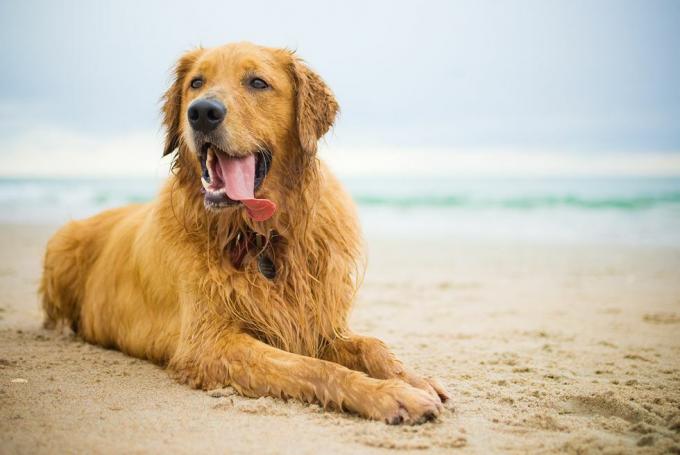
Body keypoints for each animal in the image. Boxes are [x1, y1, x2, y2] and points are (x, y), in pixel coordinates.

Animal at [39, 41, 448, 426]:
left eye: (257, 83)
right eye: (196, 83)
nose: (202, 112)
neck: (258, 235)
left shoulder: (317, 322)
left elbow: (372, 345)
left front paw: (416, 380)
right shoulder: (208, 343)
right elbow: (313, 366)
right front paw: (392, 395)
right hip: (60, 245)